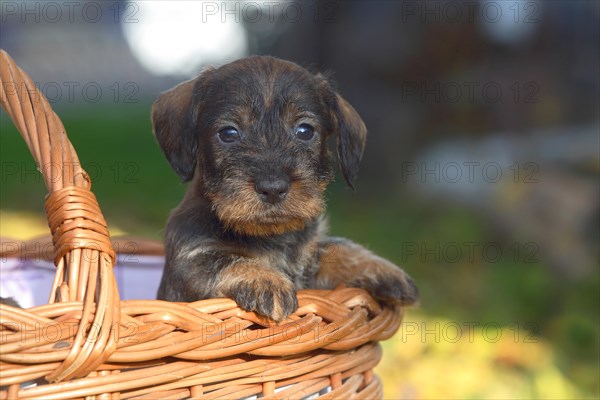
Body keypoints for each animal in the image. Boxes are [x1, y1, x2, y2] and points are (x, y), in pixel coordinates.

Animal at [154, 55, 418, 322]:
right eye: (228, 133)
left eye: (305, 130)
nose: (273, 189)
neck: (273, 236)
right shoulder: (187, 268)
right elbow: (224, 259)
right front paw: (266, 280)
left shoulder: (312, 265)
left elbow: (336, 247)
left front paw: (384, 269)